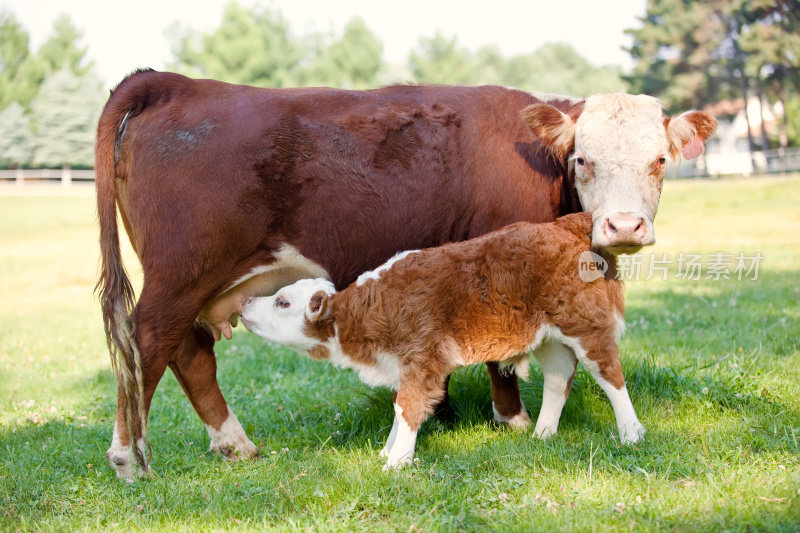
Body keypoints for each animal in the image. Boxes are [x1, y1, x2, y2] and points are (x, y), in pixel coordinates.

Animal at [241, 210, 640, 468]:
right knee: (559, 377)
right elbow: (399, 408)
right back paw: (543, 434)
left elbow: (407, 407)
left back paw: (631, 433)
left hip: (584, 324)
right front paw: (388, 451)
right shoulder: (403, 366)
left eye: (282, 301)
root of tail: (563, 225)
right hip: (547, 337)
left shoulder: (420, 359)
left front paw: (396, 463)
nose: (244, 302)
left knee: (609, 373)